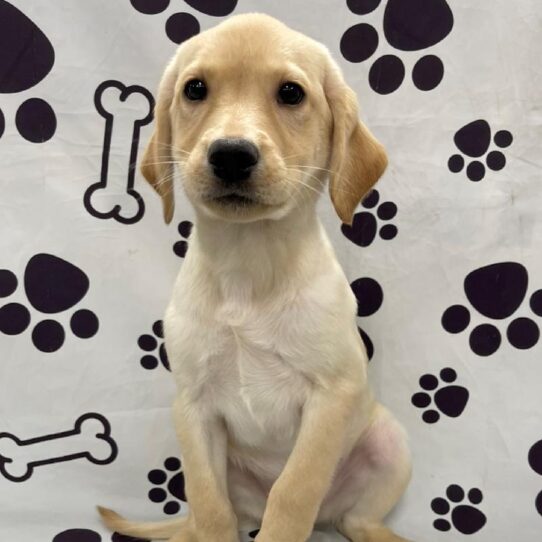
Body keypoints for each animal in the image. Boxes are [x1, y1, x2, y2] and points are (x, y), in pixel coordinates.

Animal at [99, 11, 412, 542]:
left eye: (290, 93)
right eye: (195, 89)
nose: (230, 153)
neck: (248, 262)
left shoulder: (332, 396)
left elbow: (292, 493)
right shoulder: (193, 407)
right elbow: (211, 507)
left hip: (390, 443)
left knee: (355, 518)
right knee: (211, 517)